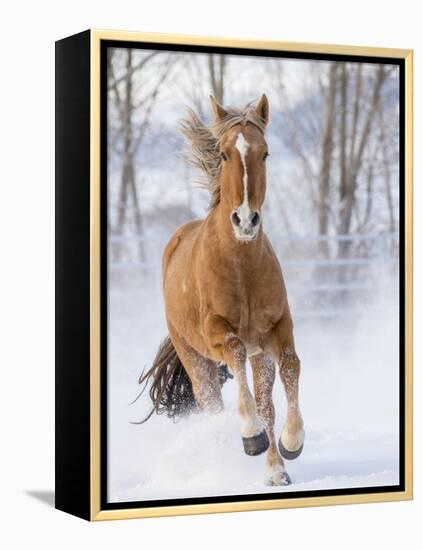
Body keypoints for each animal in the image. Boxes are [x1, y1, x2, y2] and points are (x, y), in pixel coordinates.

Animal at [139, 95, 304, 488]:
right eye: (225, 154)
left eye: (265, 153)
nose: (245, 220)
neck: (240, 266)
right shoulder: (218, 335)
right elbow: (236, 353)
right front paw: (251, 436)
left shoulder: (277, 331)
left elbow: (291, 366)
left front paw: (292, 442)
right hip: (195, 360)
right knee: (212, 405)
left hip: (259, 355)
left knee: (266, 404)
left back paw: (276, 470)